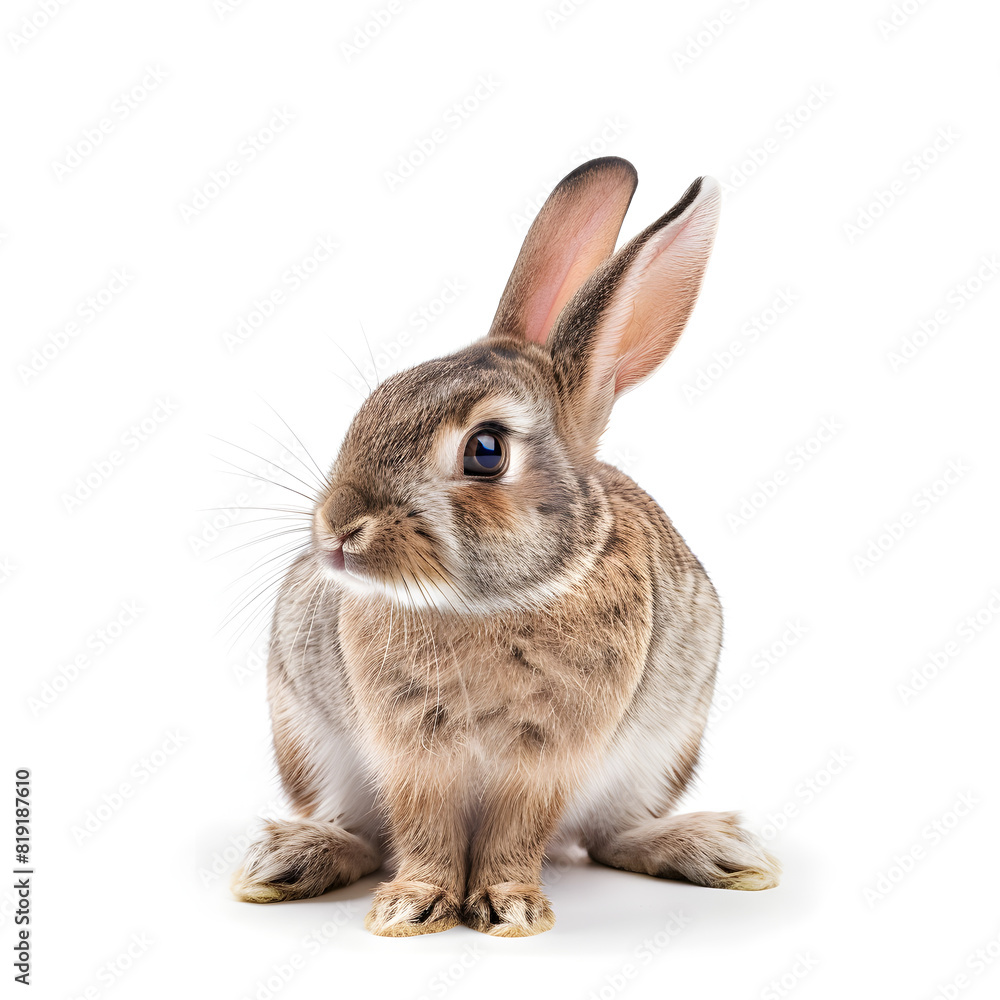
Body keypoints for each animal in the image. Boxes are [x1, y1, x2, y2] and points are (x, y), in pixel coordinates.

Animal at [231, 156, 781, 937]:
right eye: (375, 401)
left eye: (486, 451)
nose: (337, 529)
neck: (492, 604)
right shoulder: (409, 747)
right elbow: (422, 825)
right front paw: (411, 908)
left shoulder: (552, 754)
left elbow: (519, 830)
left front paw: (511, 908)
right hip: (310, 744)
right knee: (359, 830)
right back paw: (289, 858)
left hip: (658, 753)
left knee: (612, 835)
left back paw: (715, 848)